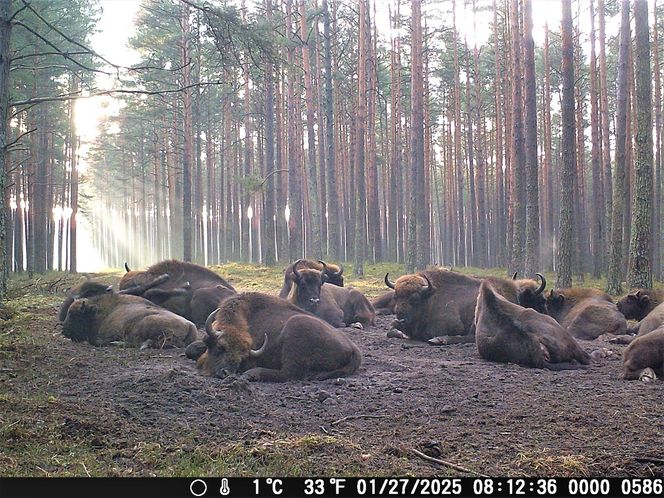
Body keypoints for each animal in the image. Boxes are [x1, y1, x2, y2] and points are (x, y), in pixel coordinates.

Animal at [196, 292, 364, 382]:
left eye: (243, 357)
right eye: (220, 347)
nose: (227, 374)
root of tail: (354, 348)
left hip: (295, 327)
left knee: (289, 373)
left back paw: (251, 374)